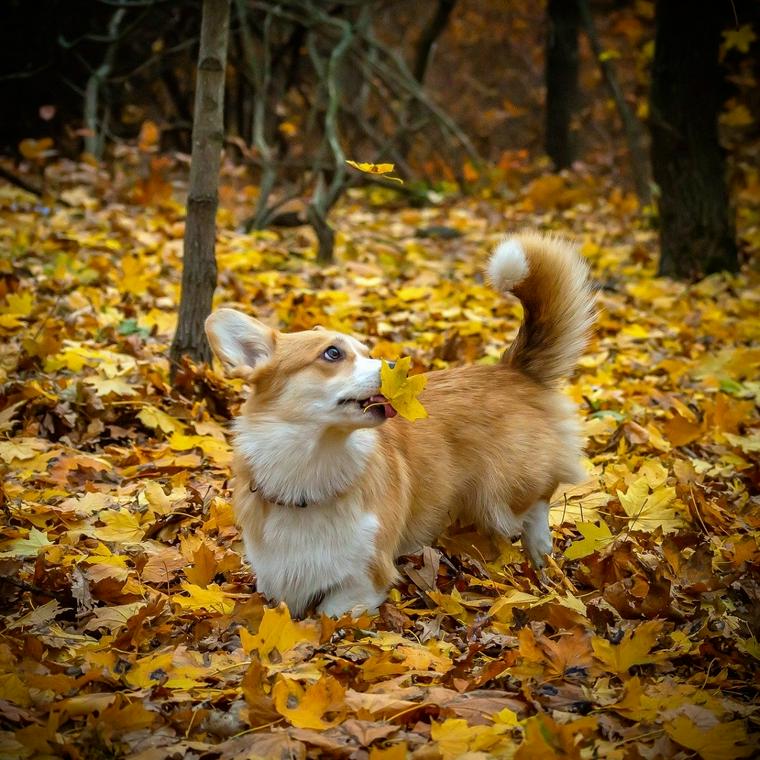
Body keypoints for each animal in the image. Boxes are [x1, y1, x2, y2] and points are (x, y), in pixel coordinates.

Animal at [205, 232, 596, 616]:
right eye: (333, 353)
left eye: (367, 352)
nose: (395, 366)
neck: (308, 472)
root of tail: (513, 369)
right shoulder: (275, 576)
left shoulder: (365, 577)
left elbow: (328, 614)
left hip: (506, 492)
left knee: (537, 505)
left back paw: (541, 557)